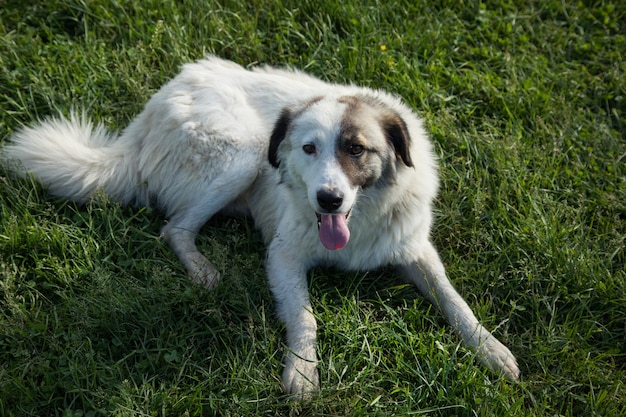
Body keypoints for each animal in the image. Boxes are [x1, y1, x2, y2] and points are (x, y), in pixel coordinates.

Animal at [1, 56, 516, 396]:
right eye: (308, 148)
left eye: (356, 149)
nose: (328, 199)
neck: (361, 218)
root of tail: (146, 117)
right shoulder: (283, 255)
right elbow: (305, 317)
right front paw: (303, 373)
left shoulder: (413, 249)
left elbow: (454, 300)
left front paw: (490, 349)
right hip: (245, 154)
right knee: (174, 229)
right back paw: (203, 270)